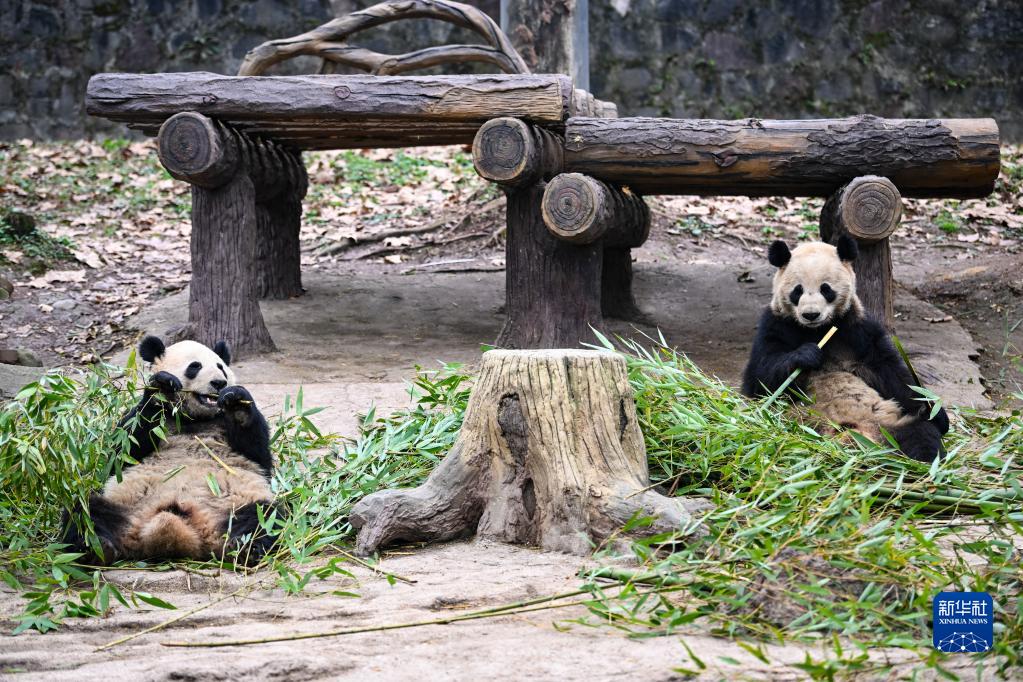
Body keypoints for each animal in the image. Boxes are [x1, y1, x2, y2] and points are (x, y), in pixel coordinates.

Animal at [63, 336, 278, 565]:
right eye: (195, 366)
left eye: (221, 367)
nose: (219, 383)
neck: (193, 418)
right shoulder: (149, 421)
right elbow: (123, 452)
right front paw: (163, 387)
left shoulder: (224, 424)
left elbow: (258, 454)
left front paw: (236, 400)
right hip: (122, 504)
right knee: (86, 513)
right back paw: (94, 548)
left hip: (236, 504)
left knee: (262, 517)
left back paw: (246, 548)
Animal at [741, 236, 950, 462]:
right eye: (798, 290)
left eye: (826, 289)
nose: (811, 314)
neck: (817, 330)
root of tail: (860, 435)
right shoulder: (776, 324)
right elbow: (760, 378)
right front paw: (807, 355)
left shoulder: (857, 328)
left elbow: (892, 372)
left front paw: (937, 413)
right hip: (800, 423)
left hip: (892, 421)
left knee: (920, 433)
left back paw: (925, 461)